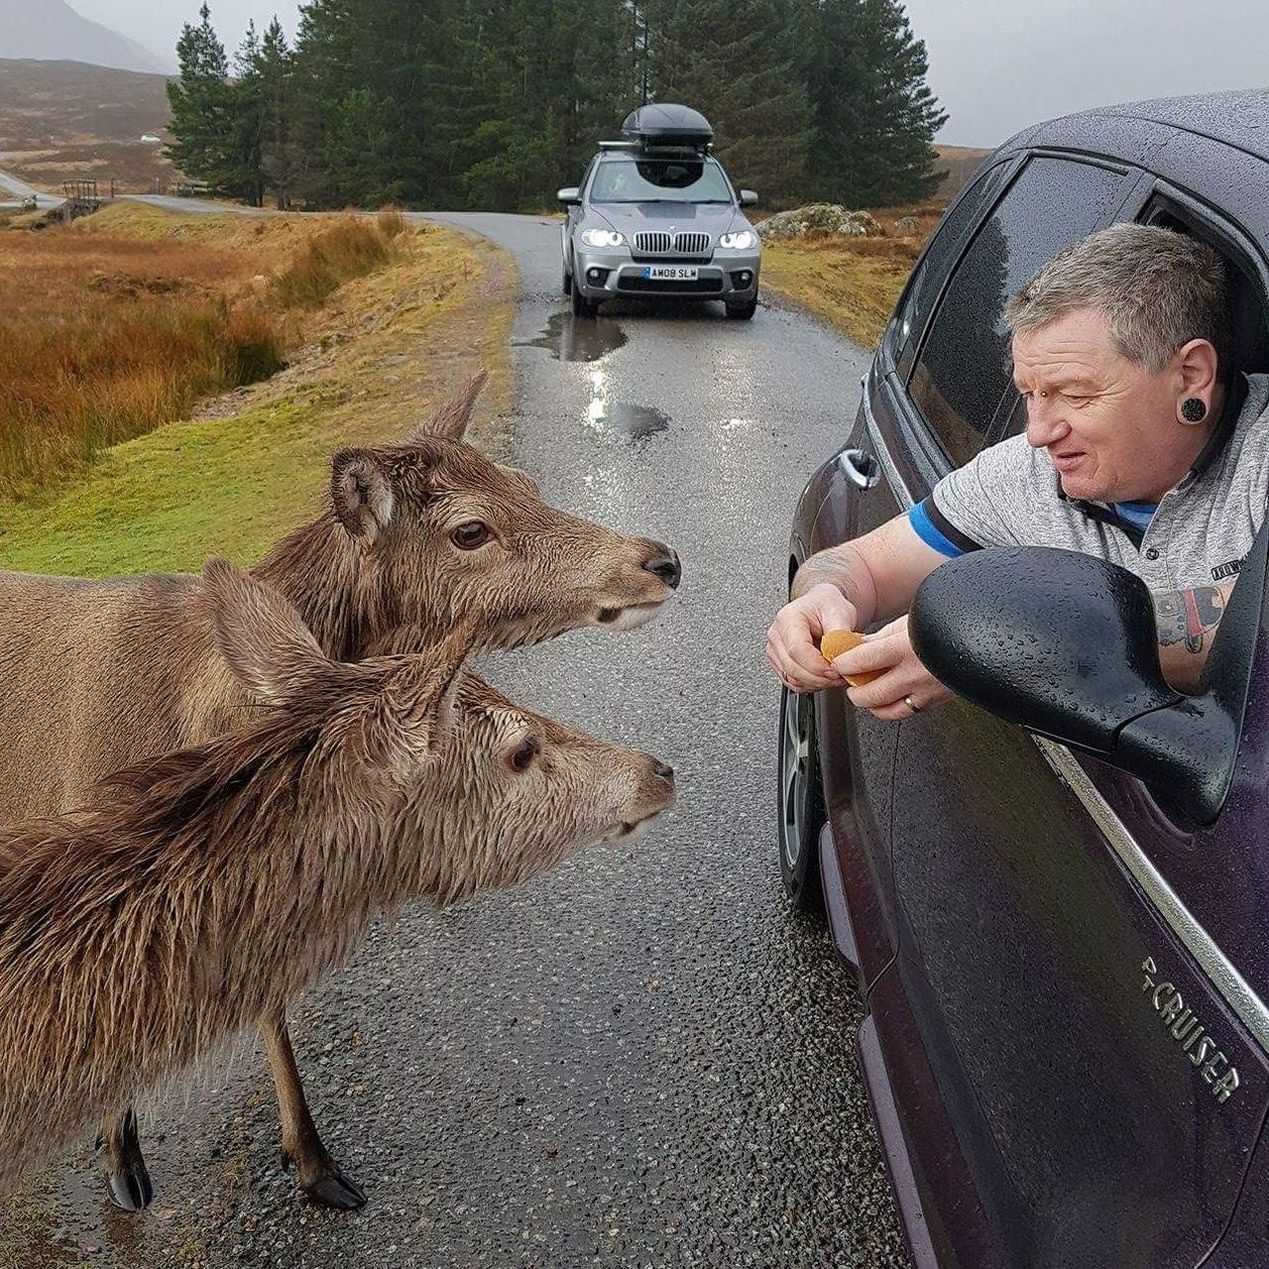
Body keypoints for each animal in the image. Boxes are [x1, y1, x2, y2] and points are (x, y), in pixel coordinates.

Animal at [0, 373, 685, 1208]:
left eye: (526, 483)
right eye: (469, 530)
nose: (660, 560)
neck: (201, 714)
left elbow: (270, 1000)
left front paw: (314, 1160)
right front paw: (124, 1159)